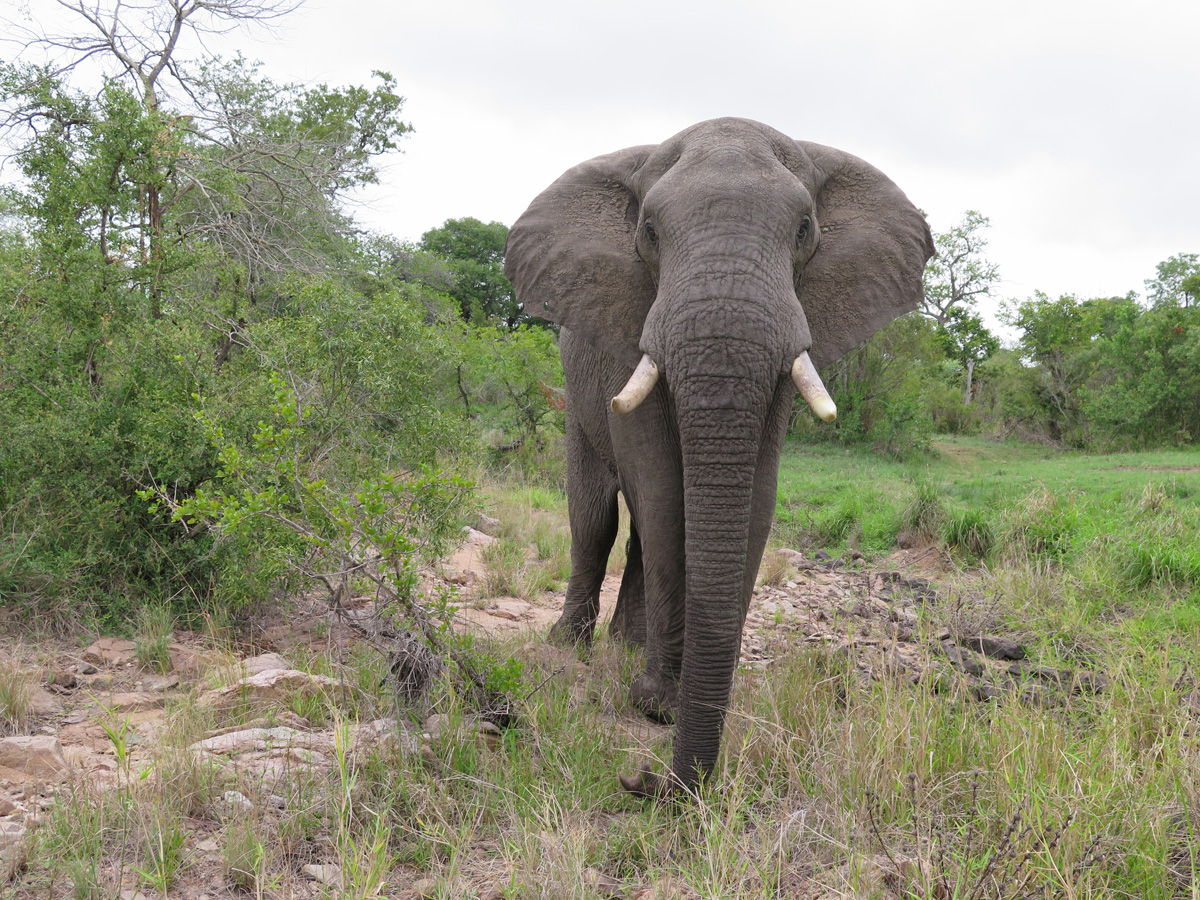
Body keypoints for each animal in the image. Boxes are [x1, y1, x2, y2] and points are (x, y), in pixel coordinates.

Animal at [504, 118, 933, 796]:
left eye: (805, 230)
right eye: (649, 232)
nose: (644, 779)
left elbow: (756, 494)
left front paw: (677, 699)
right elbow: (659, 488)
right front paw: (657, 704)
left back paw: (626, 648)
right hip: (575, 389)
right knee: (596, 518)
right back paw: (571, 645)